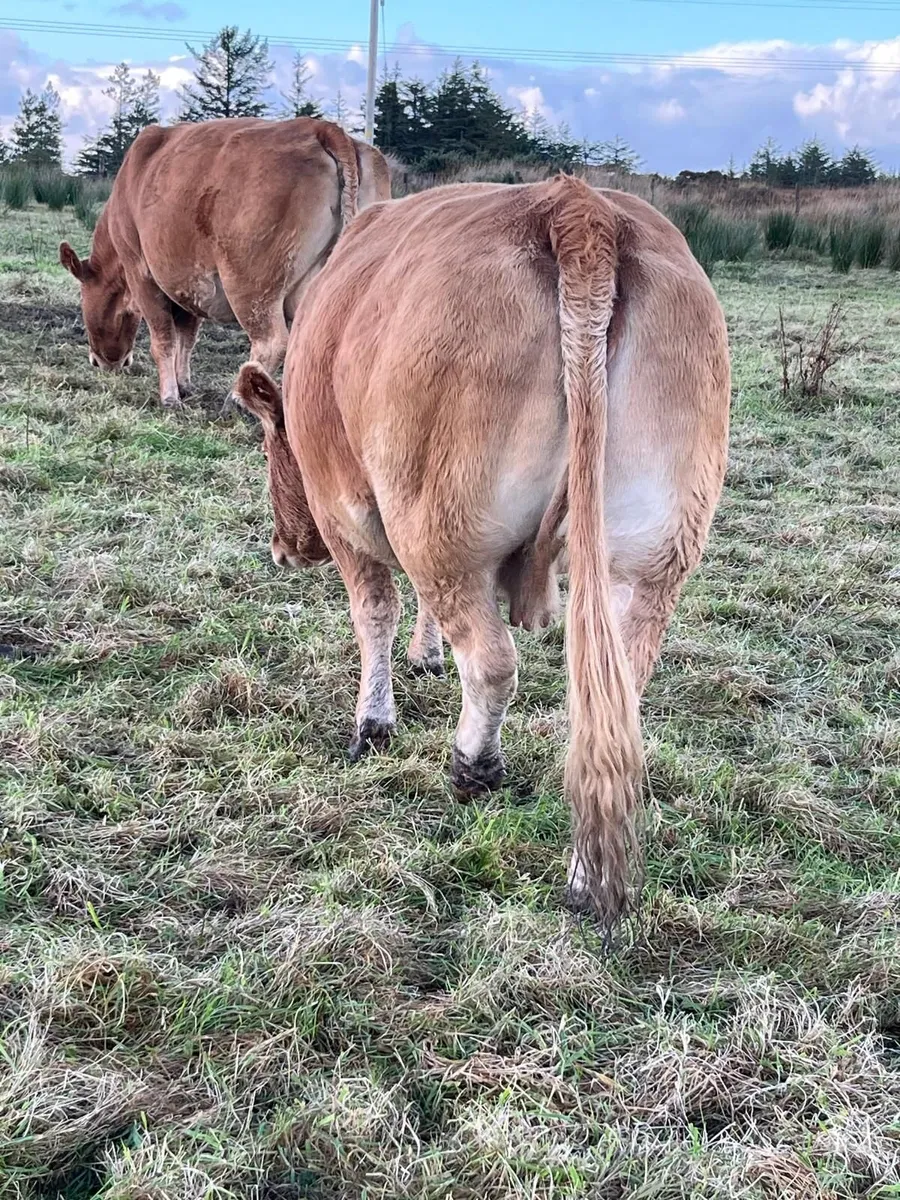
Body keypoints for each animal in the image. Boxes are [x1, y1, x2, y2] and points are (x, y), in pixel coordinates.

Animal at [58, 117, 391, 408]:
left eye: (83, 300)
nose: (98, 361)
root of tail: (322, 128)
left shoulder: (142, 274)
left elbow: (164, 339)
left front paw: (170, 397)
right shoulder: (186, 283)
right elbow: (187, 337)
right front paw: (184, 384)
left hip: (250, 287)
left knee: (271, 342)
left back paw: (236, 400)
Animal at [233, 175, 731, 930]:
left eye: (268, 440)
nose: (281, 549)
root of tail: (576, 207)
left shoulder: (346, 514)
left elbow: (374, 613)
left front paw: (373, 724)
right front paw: (426, 655)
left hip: (439, 522)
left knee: (494, 660)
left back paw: (473, 765)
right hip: (651, 557)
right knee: (615, 702)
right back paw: (586, 878)